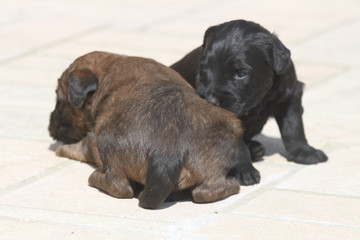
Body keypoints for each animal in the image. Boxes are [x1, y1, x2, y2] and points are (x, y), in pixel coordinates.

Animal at [49, 51, 256, 209]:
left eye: (59, 102)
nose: (49, 125)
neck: (108, 68)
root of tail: (168, 150)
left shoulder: (92, 137)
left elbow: (80, 146)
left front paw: (62, 148)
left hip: (106, 142)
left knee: (120, 186)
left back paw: (95, 178)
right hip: (228, 129)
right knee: (206, 191)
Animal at [170, 19, 328, 164]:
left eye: (241, 74)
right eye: (203, 69)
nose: (210, 101)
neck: (260, 99)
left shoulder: (290, 94)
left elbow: (293, 125)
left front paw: (303, 152)